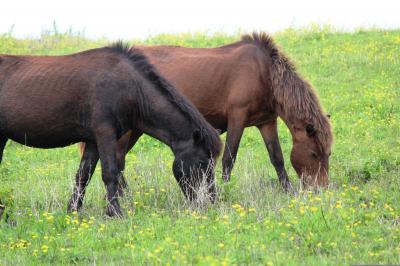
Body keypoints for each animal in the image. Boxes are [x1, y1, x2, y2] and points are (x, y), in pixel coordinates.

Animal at [0, 42, 222, 217]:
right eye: (202, 163)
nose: (211, 202)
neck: (130, 87)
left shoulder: (92, 140)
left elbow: (83, 176)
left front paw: (73, 211)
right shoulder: (105, 133)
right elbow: (110, 173)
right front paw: (115, 212)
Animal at [79, 32, 332, 189]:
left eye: (327, 154)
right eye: (313, 154)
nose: (321, 189)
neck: (265, 73)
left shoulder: (266, 122)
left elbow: (277, 158)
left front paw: (287, 189)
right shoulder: (237, 117)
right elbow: (229, 158)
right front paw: (228, 189)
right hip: (129, 129)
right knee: (117, 159)